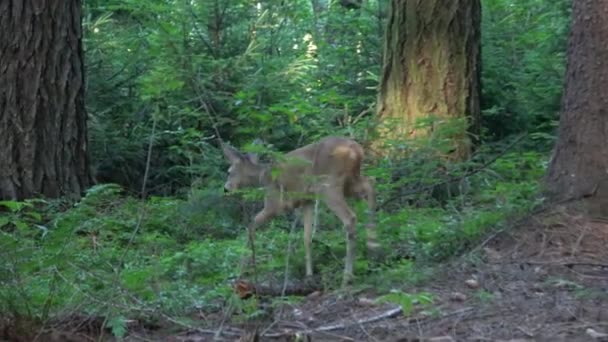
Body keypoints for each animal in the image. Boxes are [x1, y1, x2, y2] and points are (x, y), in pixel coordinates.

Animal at [221, 135, 378, 284]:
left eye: (229, 172)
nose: (226, 189)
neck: (262, 176)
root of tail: (356, 150)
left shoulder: (274, 204)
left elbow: (250, 225)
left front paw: (237, 273)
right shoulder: (307, 201)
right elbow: (307, 237)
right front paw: (309, 275)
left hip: (329, 184)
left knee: (350, 217)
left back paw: (347, 277)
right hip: (349, 181)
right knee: (370, 183)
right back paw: (373, 250)